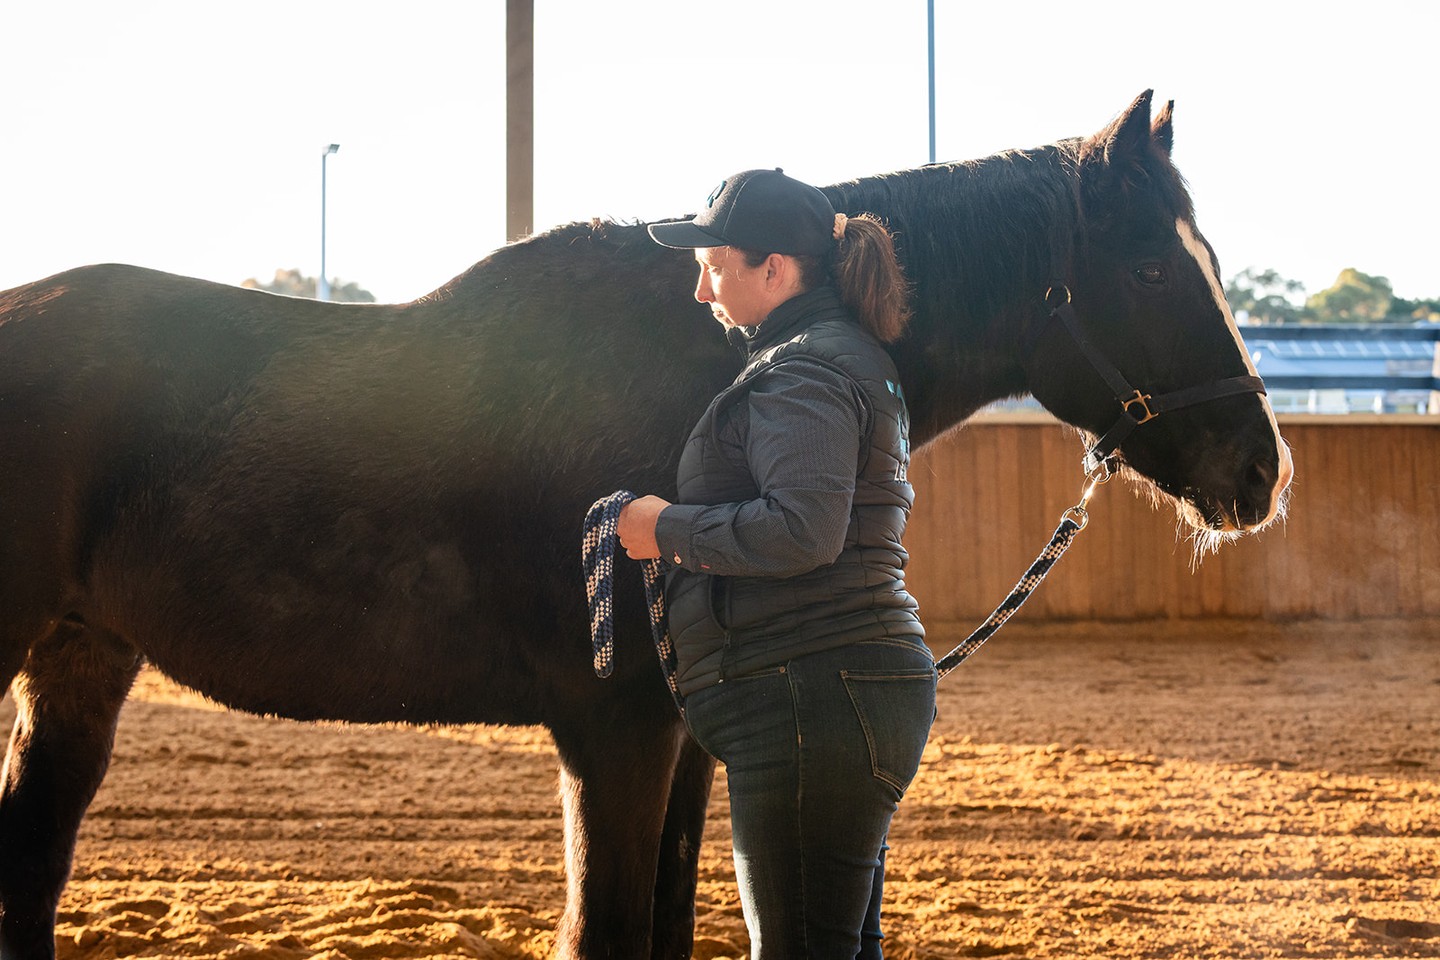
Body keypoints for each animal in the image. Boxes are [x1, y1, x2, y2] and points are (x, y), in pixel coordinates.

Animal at [0, 91, 1289, 959]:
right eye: (1152, 270)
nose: (1261, 471)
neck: (703, 364)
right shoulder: (610, 728)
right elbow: (612, 929)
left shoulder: (686, 740)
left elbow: (663, 919)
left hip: (80, 653)